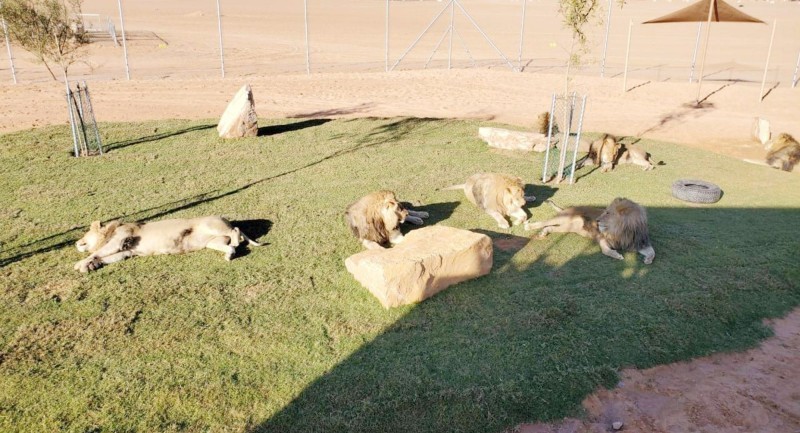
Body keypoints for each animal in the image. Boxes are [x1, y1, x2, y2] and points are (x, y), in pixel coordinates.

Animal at [74, 216, 262, 273]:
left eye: (85, 234)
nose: (76, 242)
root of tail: (227, 219)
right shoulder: (127, 252)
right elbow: (105, 257)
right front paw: (91, 265)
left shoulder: (120, 240)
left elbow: (97, 252)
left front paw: (80, 264)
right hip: (212, 243)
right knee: (230, 246)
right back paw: (229, 254)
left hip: (212, 225)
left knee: (236, 230)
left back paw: (237, 240)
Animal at [524, 198, 655, 264]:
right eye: (605, 211)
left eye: (608, 213)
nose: (596, 220)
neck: (621, 230)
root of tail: (566, 208)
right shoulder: (601, 238)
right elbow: (605, 250)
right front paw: (617, 255)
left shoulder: (639, 243)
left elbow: (653, 252)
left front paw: (647, 260)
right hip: (563, 218)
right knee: (544, 222)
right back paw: (528, 226)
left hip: (567, 227)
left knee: (550, 227)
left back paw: (543, 233)